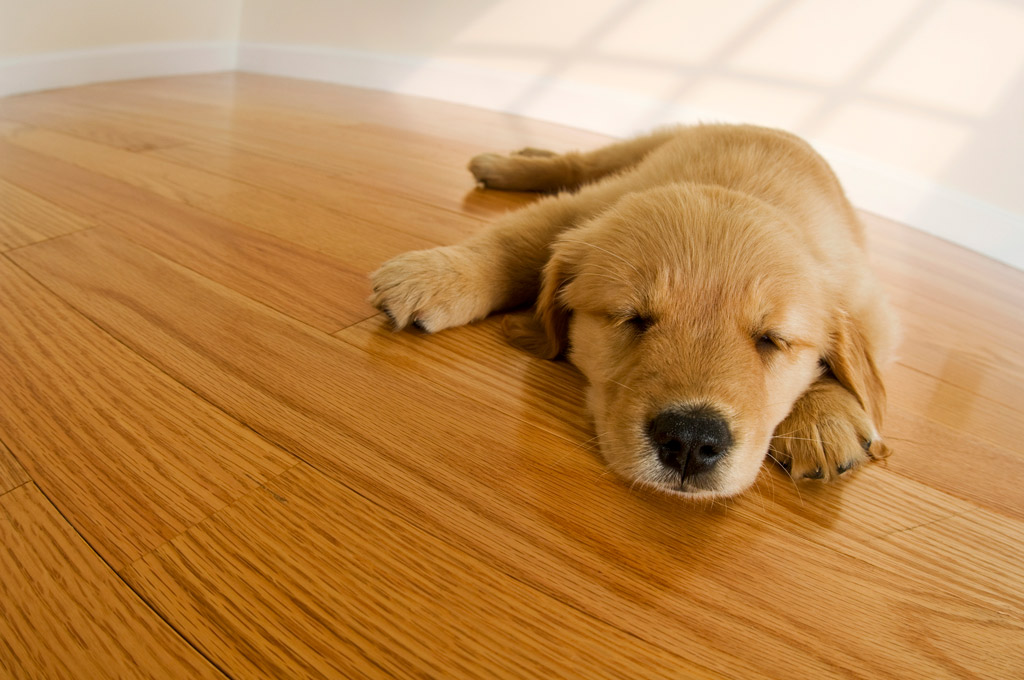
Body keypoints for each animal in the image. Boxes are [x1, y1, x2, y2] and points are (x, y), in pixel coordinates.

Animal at [374, 124, 897, 499]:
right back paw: (503, 165)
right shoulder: (586, 210)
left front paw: (822, 419)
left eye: (772, 340)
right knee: (578, 163)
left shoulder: (867, 295)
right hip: (633, 153)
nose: (690, 441)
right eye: (632, 319)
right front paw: (435, 275)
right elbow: (514, 243)